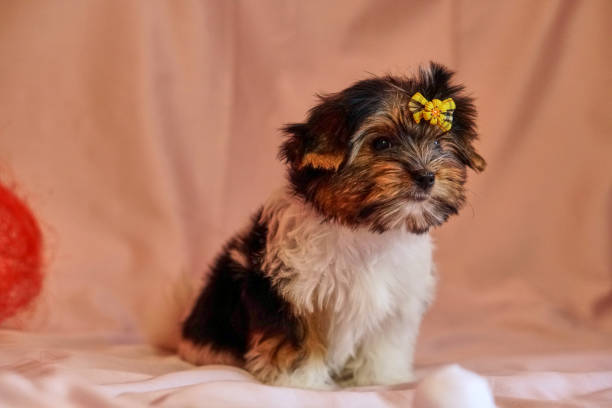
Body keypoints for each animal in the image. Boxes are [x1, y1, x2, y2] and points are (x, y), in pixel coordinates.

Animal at [179, 63, 486, 388]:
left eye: (439, 143)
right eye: (382, 143)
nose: (426, 176)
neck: (364, 228)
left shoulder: (398, 298)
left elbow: (384, 340)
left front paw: (381, 376)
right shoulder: (287, 290)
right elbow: (298, 338)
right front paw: (300, 381)